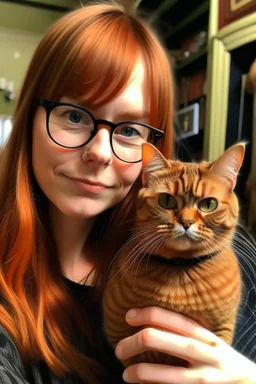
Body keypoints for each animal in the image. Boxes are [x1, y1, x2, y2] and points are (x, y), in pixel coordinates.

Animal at [103, 142, 245, 366]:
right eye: (167, 201)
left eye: (209, 204)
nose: (186, 222)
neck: (179, 267)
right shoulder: (120, 337)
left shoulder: (222, 330)